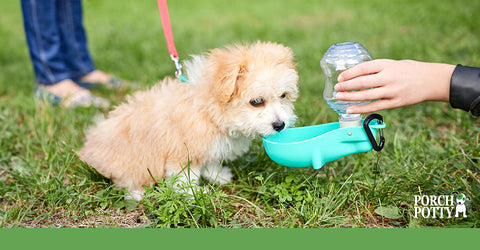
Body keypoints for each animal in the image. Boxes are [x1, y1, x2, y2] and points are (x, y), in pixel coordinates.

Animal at [78, 42, 298, 200]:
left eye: (283, 96)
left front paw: (218, 176)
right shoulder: (182, 153)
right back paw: (138, 194)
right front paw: (195, 194)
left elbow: (211, 161)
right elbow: (186, 179)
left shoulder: (208, 146)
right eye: (256, 102)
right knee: (125, 179)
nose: (280, 125)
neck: (208, 109)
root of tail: (88, 149)